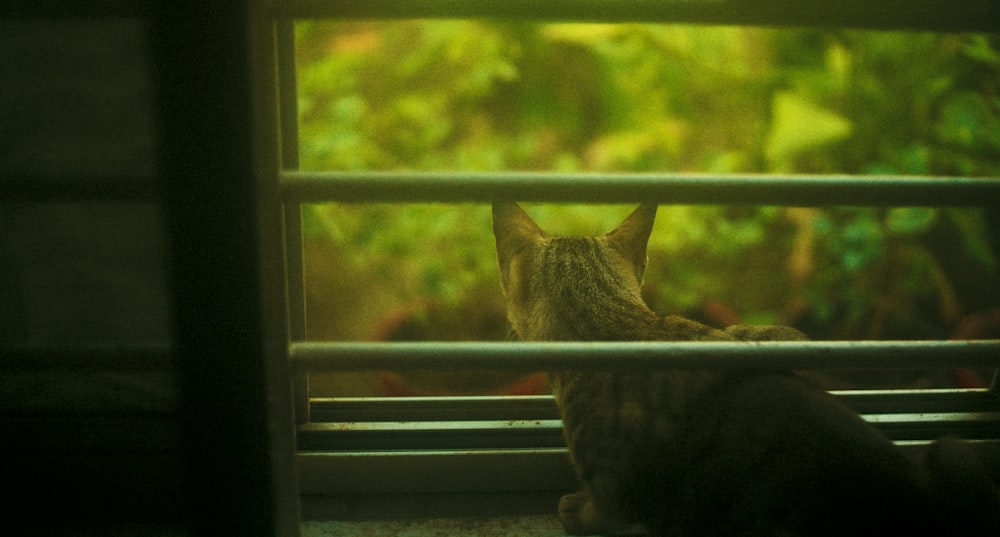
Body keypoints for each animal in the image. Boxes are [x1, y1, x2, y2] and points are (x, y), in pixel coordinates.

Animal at [490, 202, 992, 536]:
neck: (615, 324)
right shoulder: (772, 335)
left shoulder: (619, 492)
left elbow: (599, 512)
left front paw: (575, 508)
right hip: (951, 451)